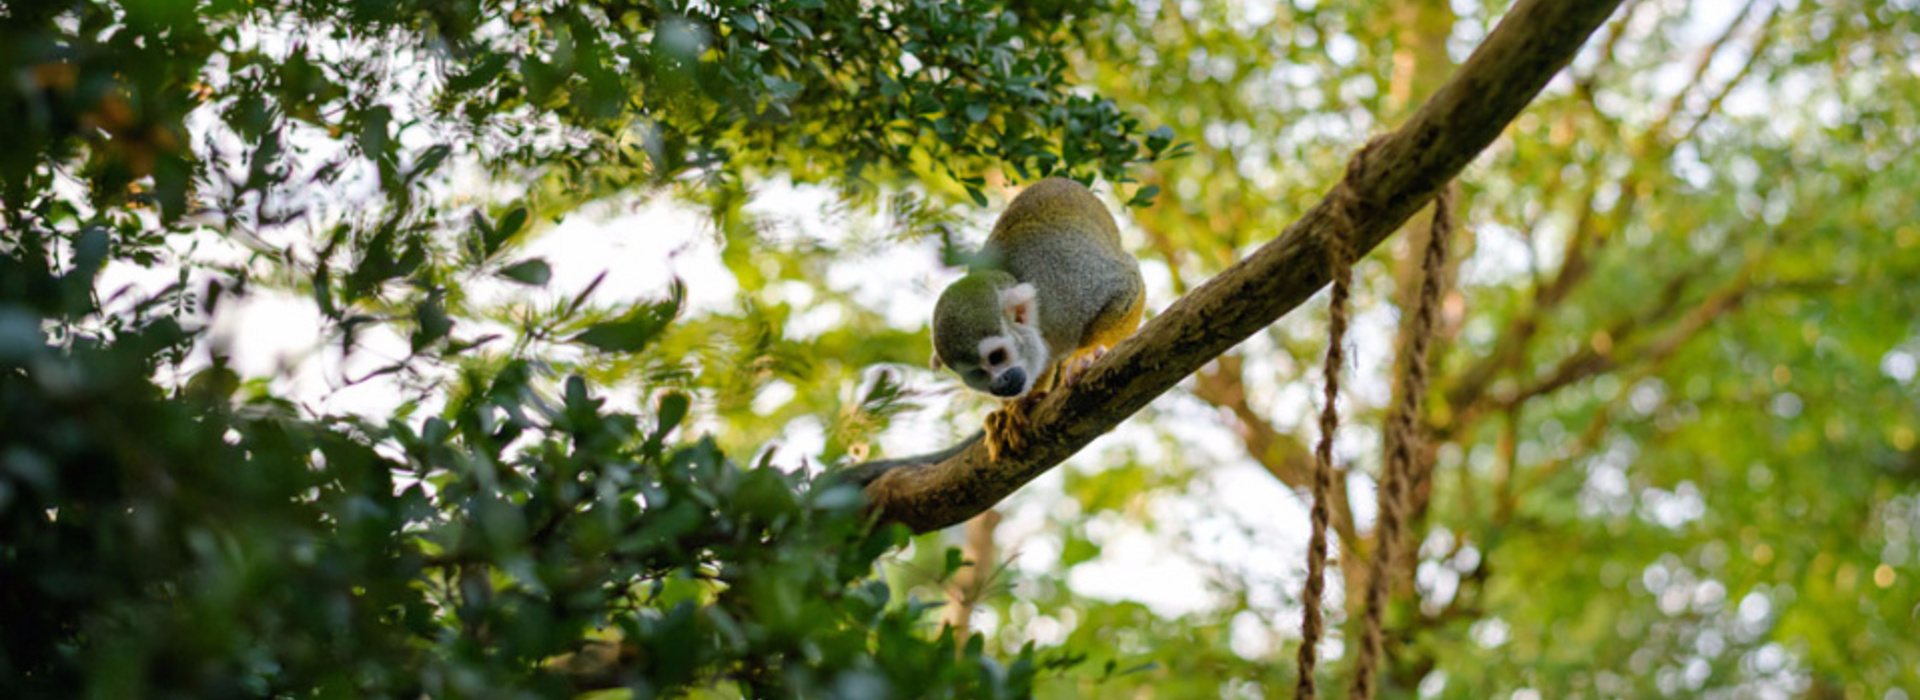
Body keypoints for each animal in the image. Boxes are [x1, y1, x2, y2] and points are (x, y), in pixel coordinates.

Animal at [925, 177, 1136, 454]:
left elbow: (1126, 282)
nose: (1000, 385)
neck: (1040, 318)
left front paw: (1088, 354)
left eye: (996, 357)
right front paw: (1015, 408)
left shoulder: (1064, 285)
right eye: (977, 374)